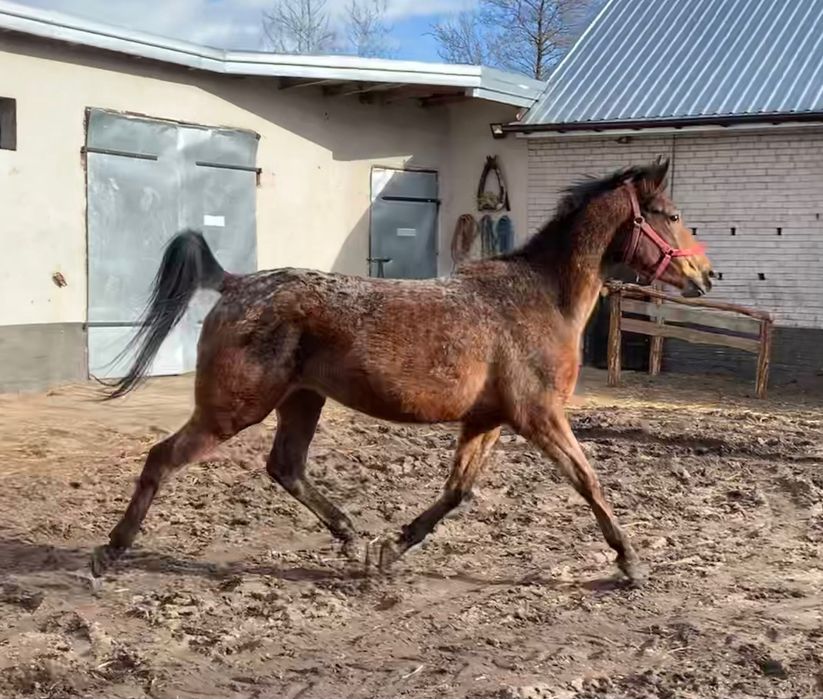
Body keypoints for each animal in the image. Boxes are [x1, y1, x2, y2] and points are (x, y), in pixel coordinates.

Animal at [88, 159, 708, 584]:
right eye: (674, 216)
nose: (706, 275)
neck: (539, 298)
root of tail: (238, 283)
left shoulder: (488, 420)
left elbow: (457, 491)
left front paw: (390, 549)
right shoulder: (539, 416)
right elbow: (587, 480)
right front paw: (630, 561)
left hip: (302, 400)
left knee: (285, 467)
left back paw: (349, 536)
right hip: (232, 409)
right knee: (162, 458)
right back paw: (110, 550)